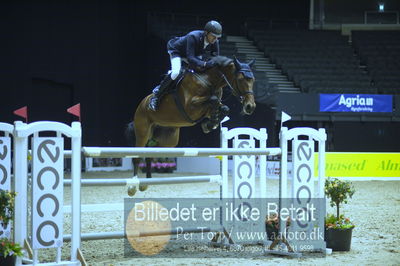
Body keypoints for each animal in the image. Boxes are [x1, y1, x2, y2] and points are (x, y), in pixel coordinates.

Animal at [126, 55, 255, 194]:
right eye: (241, 79)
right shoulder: (191, 107)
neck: (210, 81)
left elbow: (224, 108)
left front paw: (210, 124)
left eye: (253, 80)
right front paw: (210, 123)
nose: (250, 107)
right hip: (143, 132)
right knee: (137, 156)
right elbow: (213, 100)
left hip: (169, 140)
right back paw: (132, 186)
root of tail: (142, 103)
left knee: (150, 153)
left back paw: (145, 184)